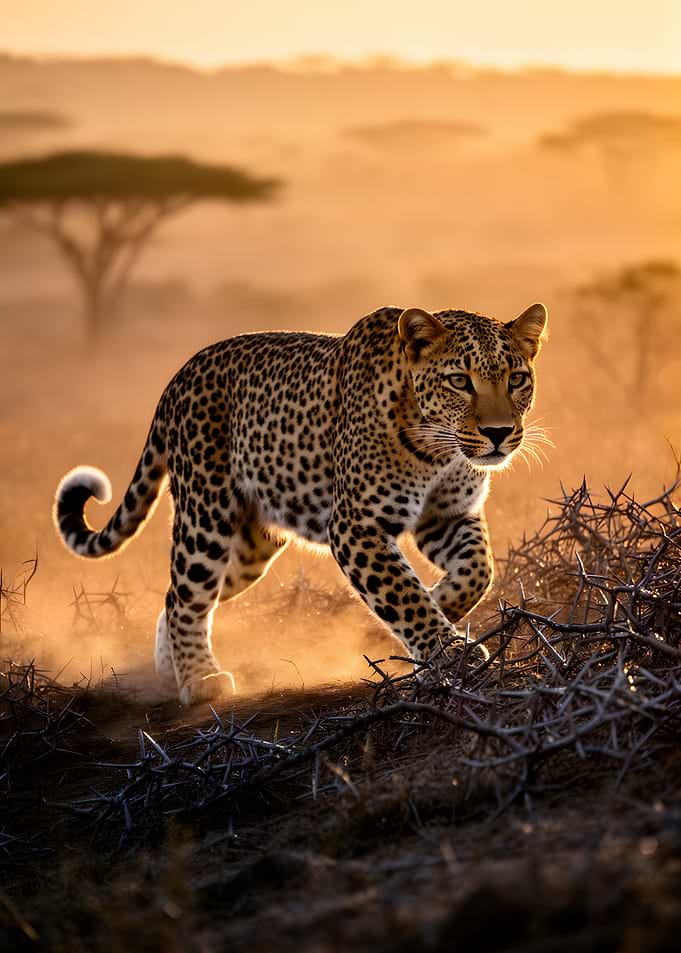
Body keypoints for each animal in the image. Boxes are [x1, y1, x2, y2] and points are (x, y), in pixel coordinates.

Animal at [54, 302, 547, 705]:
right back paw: (199, 679)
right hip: (206, 515)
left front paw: (431, 616)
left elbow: (477, 571)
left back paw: (168, 665)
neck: (440, 451)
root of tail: (180, 375)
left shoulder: (447, 516)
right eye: (460, 381)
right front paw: (450, 653)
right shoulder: (356, 525)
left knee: (181, 595)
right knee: (185, 595)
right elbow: (405, 596)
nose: (499, 433)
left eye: (517, 379)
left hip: (251, 548)